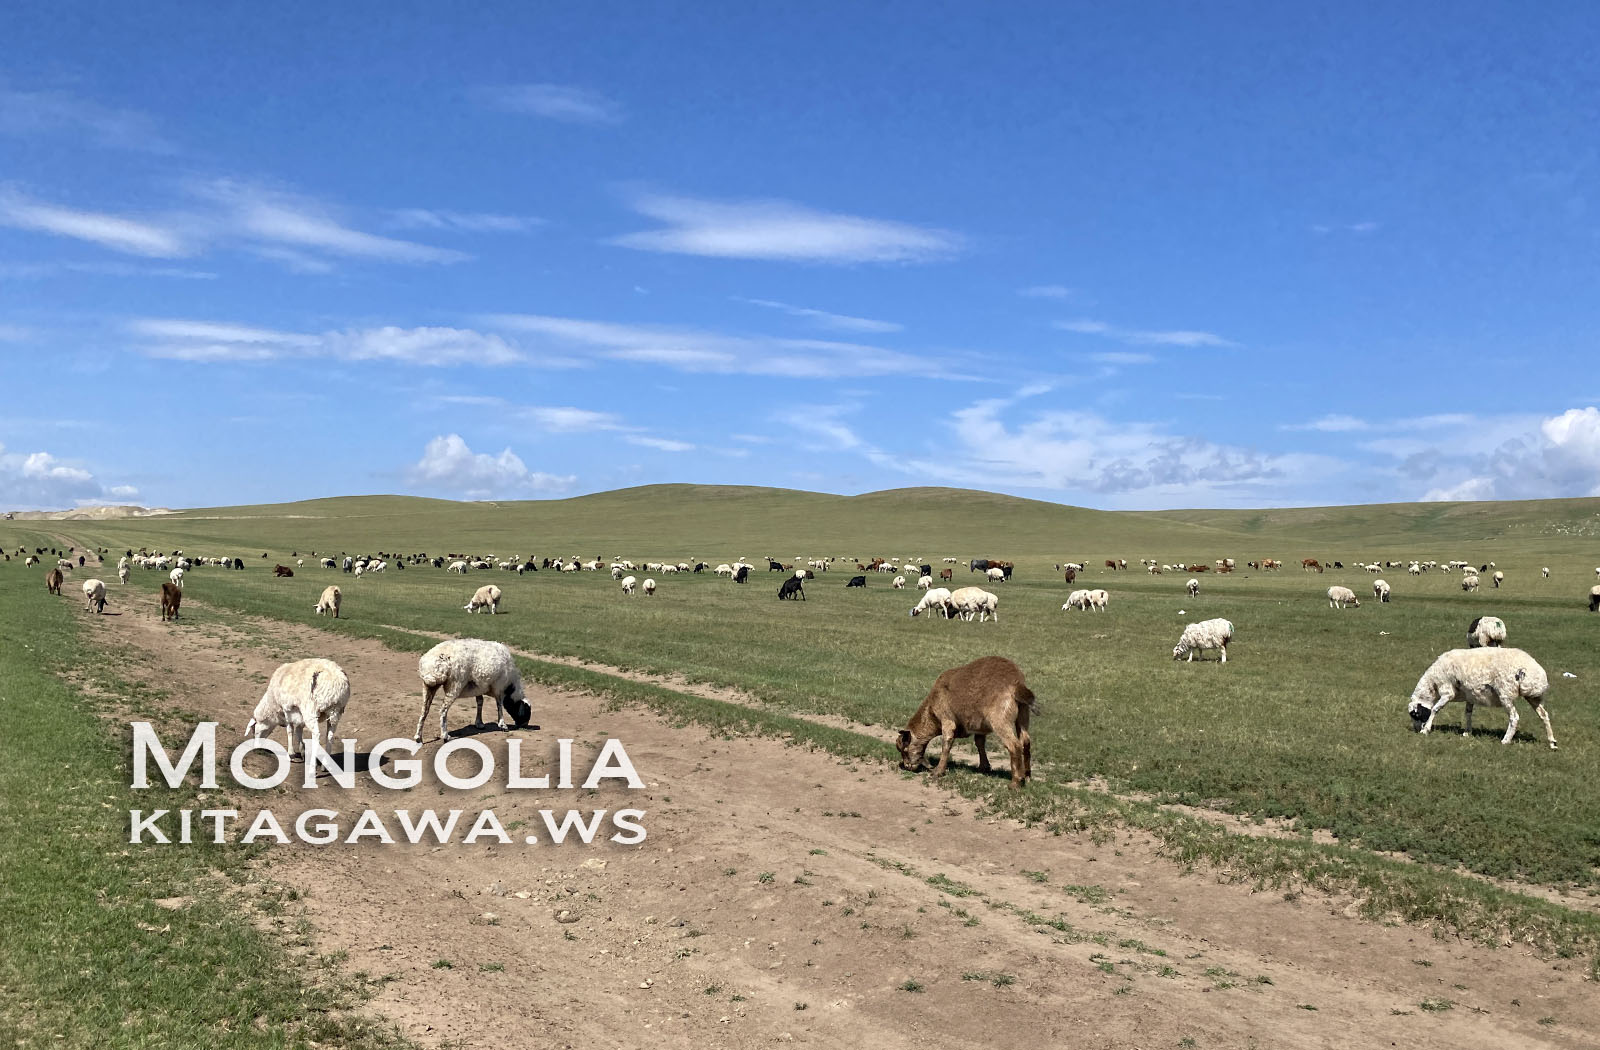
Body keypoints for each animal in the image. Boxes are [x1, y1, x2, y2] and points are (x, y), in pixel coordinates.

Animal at [889, 656, 1036, 787]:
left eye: (905, 749)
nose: (908, 766)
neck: (931, 712)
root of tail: (1017, 684)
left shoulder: (946, 719)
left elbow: (946, 743)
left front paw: (938, 771)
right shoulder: (980, 727)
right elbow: (979, 743)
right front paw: (984, 767)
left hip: (1000, 718)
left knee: (1014, 745)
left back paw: (1015, 783)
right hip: (1023, 714)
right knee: (1025, 742)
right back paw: (1027, 777)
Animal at [1408, 643, 1555, 749]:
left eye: (1415, 714)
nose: (1415, 729)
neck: (1432, 682)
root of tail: (1536, 673)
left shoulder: (1447, 692)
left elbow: (1435, 709)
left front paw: (1425, 730)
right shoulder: (1470, 695)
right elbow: (1468, 713)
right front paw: (1467, 732)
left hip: (1506, 693)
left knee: (1514, 717)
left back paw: (1506, 740)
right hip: (1533, 697)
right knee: (1544, 715)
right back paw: (1552, 742)